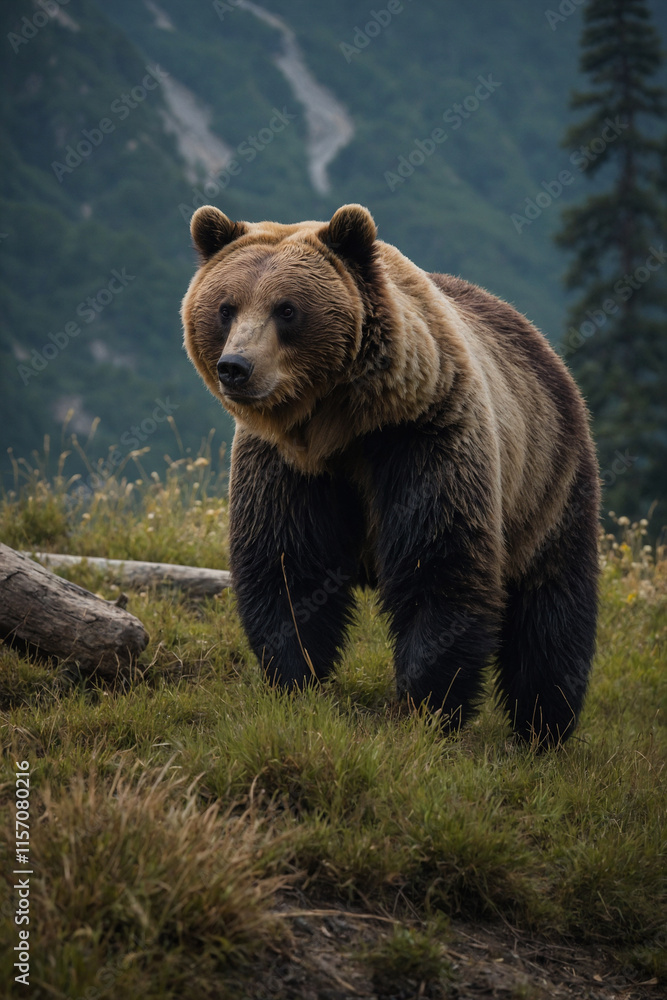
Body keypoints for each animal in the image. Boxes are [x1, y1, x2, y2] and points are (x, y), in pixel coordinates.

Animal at [182, 203, 600, 746]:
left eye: (287, 309)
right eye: (225, 308)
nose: (236, 367)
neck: (338, 425)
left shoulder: (423, 438)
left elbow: (438, 567)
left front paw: (423, 708)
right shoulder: (288, 465)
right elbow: (287, 565)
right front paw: (296, 682)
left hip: (547, 480)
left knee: (552, 605)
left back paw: (543, 726)